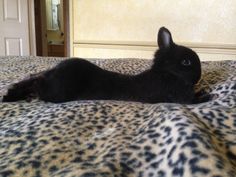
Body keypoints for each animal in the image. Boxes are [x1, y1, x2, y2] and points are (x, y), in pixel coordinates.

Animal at [2, 27, 206, 103]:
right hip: (57, 92)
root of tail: (55, 72)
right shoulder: (180, 98)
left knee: (34, 76)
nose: (199, 76)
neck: (167, 72)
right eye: (186, 62)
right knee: (38, 84)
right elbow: (193, 101)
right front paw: (207, 95)